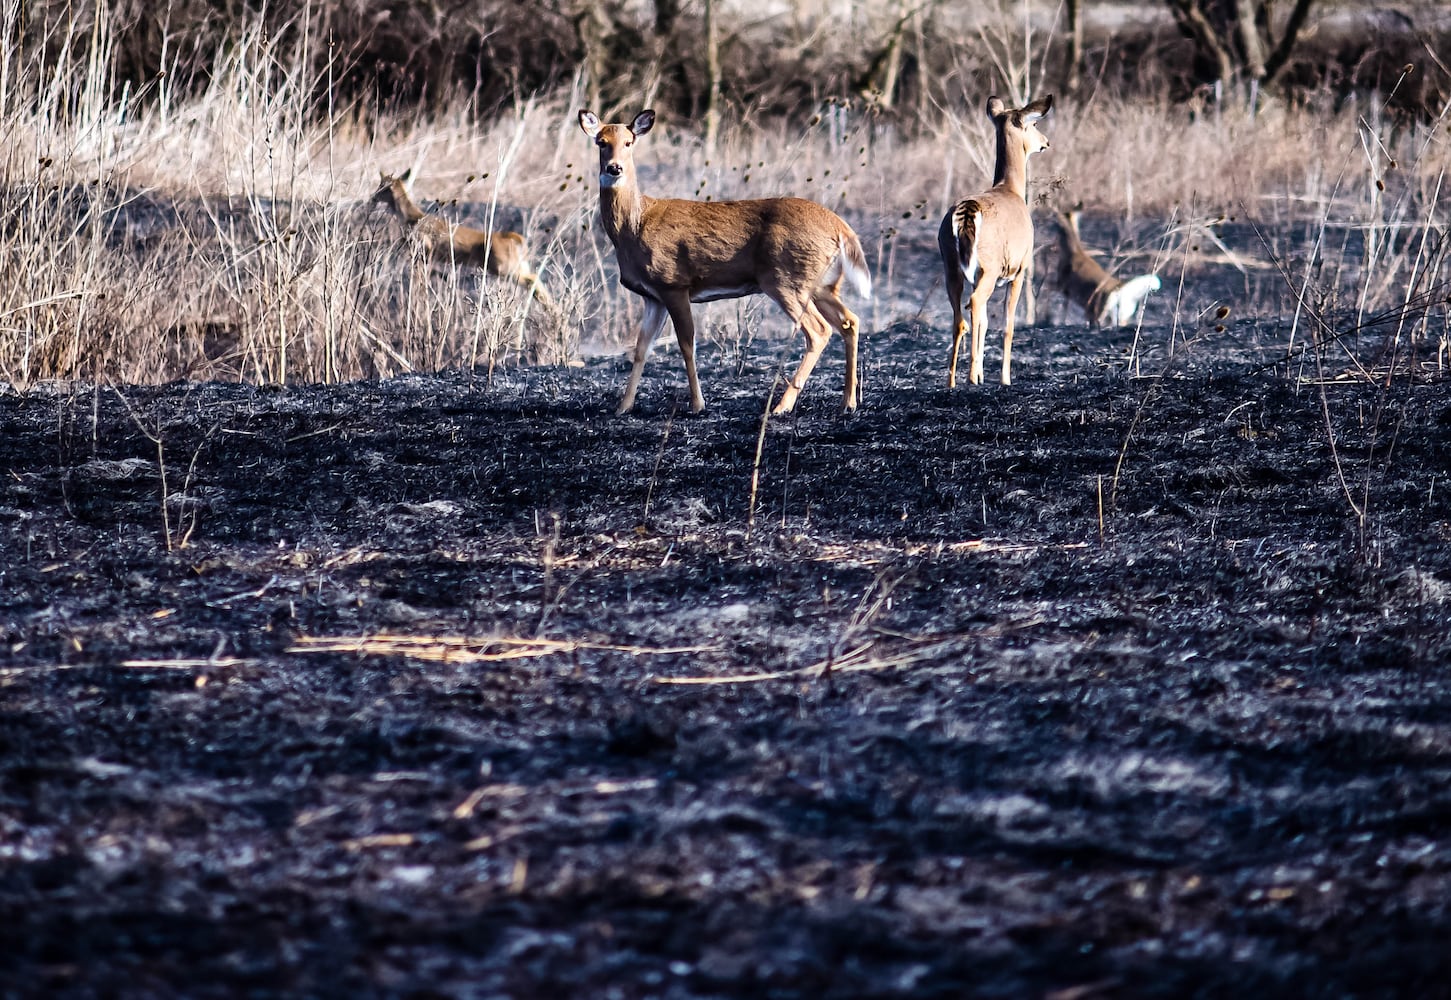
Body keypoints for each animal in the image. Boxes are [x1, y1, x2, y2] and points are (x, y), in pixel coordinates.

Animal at [371, 169, 551, 306]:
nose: (373, 197)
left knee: (533, 279)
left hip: (503, 267)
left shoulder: (424, 248)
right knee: (535, 280)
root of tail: (512, 237)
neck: (412, 218)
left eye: (383, 186)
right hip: (518, 265)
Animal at [577, 110, 870, 417]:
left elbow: (687, 344)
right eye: (601, 142)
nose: (614, 168)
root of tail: (841, 228)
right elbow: (642, 348)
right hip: (822, 284)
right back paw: (848, 401)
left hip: (786, 280)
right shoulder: (652, 296)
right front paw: (623, 406)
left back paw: (781, 405)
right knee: (850, 321)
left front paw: (697, 404)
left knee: (819, 331)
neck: (634, 226)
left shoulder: (674, 283)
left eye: (629, 142)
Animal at [940, 95, 1056, 386]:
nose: (1046, 142)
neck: (1010, 188)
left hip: (951, 265)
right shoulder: (1020, 270)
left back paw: (952, 381)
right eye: (1034, 123)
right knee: (975, 304)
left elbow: (985, 323)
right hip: (990, 267)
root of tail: (967, 211)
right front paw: (1004, 378)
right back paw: (970, 378)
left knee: (960, 317)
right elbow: (1008, 324)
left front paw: (982, 372)